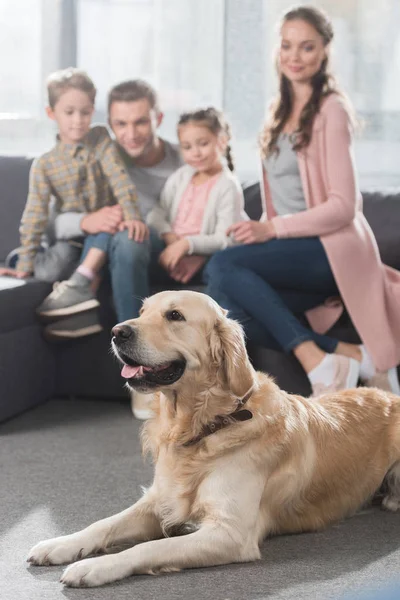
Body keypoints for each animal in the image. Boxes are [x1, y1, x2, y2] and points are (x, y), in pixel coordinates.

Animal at [27, 290, 400, 584]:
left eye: (174, 315)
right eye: (143, 311)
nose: (118, 331)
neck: (204, 426)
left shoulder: (230, 533)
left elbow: (150, 546)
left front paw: (95, 567)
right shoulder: (159, 500)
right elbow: (102, 524)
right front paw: (59, 544)